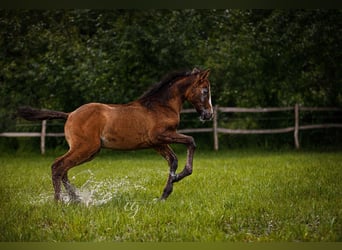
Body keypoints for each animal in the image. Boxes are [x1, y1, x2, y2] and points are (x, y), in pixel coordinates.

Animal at [18, 68, 214, 201]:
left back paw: (76, 200)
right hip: (85, 148)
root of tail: (70, 115)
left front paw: (165, 194)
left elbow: (173, 160)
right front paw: (180, 176)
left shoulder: (156, 143)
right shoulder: (161, 135)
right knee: (58, 166)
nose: (209, 115)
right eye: (205, 91)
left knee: (64, 169)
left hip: (89, 152)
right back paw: (60, 202)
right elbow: (191, 141)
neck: (160, 106)